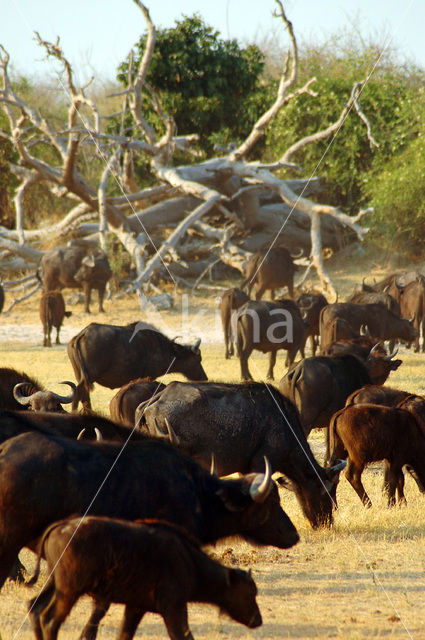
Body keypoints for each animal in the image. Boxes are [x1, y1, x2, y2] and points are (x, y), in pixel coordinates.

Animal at [27, 516, 262, 640]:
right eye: (250, 592)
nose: (258, 620)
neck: (190, 562)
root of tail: (60, 526)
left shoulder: (135, 608)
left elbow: (124, 635)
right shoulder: (173, 607)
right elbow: (183, 636)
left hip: (53, 584)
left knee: (35, 608)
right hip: (69, 591)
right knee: (50, 620)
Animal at [66, 322, 207, 412]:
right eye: (198, 359)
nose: (204, 377)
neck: (161, 348)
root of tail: (82, 334)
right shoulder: (149, 376)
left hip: (81, 375)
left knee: (83, 394)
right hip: (90, 376)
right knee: (79, 392)